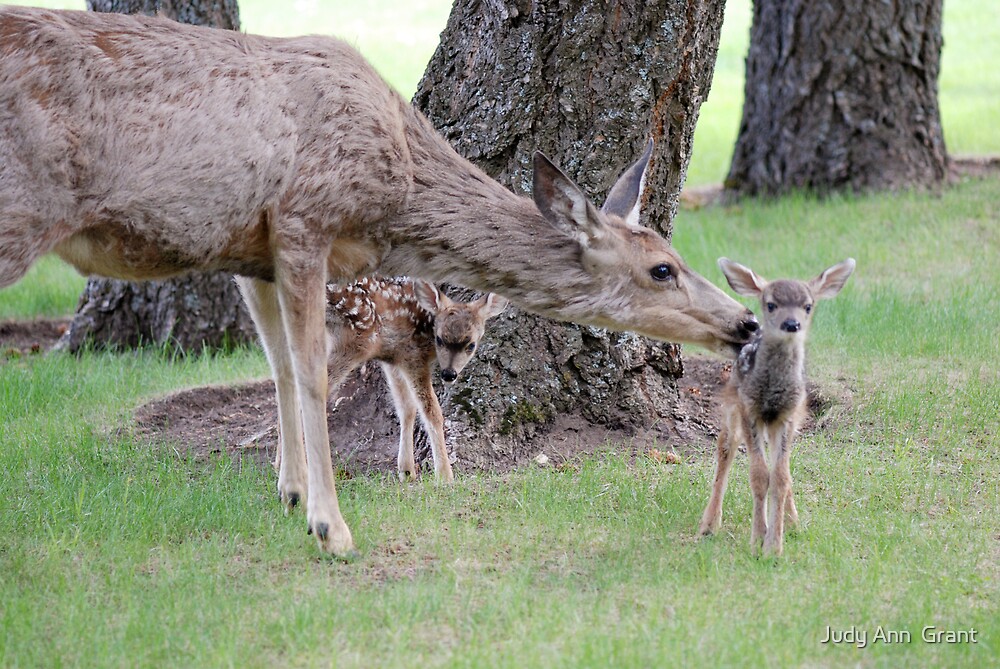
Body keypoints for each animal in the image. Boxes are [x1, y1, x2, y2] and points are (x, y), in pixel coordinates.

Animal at [0, 7, 756, 556]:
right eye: (662, 268)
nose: (746, 322)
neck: (396, 188)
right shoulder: (304, 217)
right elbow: (311, 371)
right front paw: (331, 526)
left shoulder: (250, 248)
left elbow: (277, 364)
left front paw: (289, 492)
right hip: (19, 214)